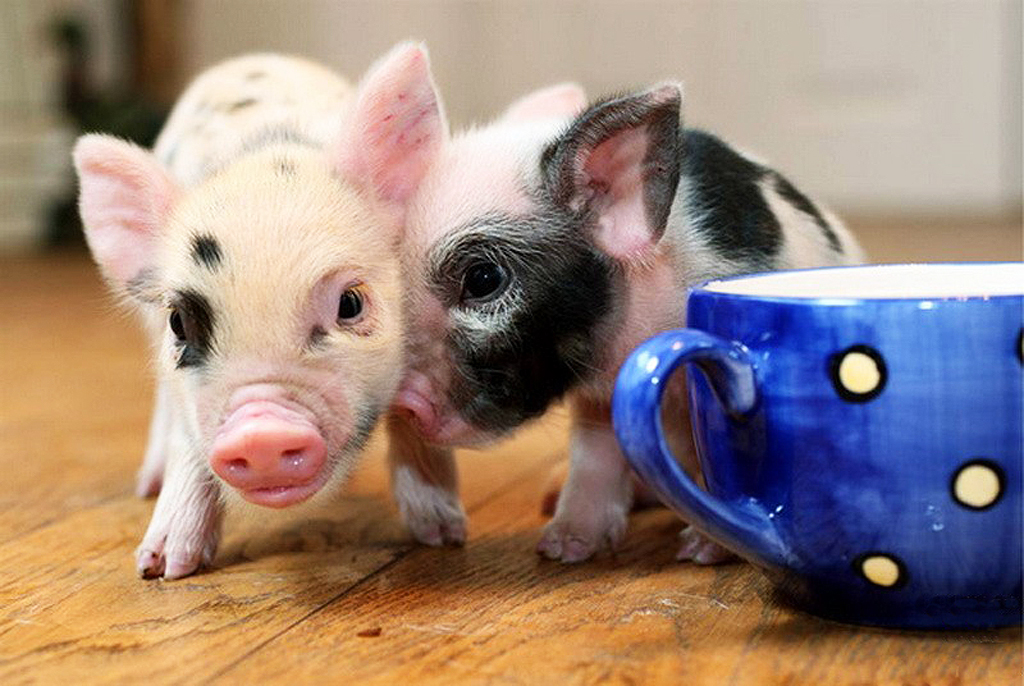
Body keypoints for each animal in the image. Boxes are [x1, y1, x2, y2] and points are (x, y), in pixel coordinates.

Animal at [74, 44, 445, 579]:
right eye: (179, 322)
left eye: (350, 303)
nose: (260, 434)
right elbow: (188, 438)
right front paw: (161, 569)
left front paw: (444, 534)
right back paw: (148, 487)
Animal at [385, 78, 865, 562]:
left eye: (483, 279)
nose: (401, 399)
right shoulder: (599, 398)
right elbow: (594, 456)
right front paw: (561, 549)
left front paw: (699, 553)